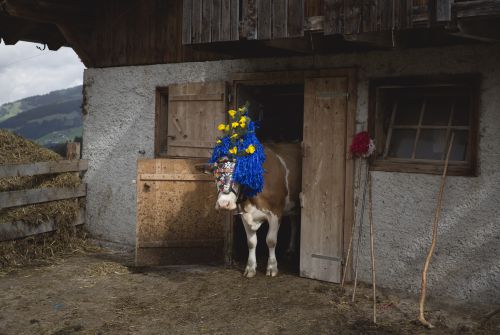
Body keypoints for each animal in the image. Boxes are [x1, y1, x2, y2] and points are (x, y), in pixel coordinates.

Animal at [199, 144, 300, 278]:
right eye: (215, 175)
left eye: (241, 175)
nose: (223, 204)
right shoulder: (245, 215)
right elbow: (251, 242)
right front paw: (250, 268)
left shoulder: (276, 213)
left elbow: (271, 240)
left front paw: (272, 267)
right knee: (294, 223)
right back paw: (290, 249)